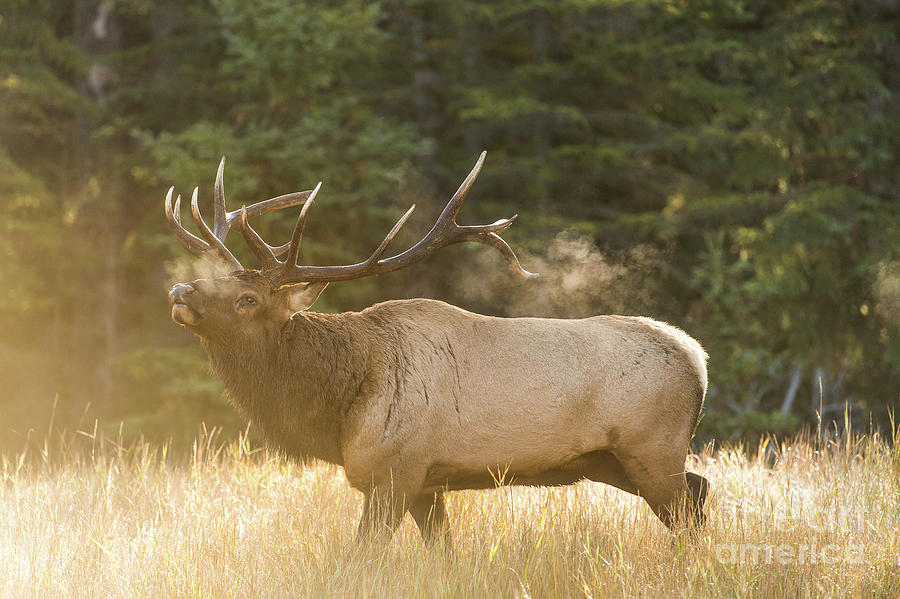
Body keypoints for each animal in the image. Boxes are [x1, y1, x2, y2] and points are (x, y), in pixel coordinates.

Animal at [163, 152, 712, 548]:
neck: (340, 407)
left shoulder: (396, 472)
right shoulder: (427, 486)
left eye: (248, 299)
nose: (180, 291)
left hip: (653, 446)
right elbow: (443, 554)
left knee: (687, 510)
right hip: (611, 461)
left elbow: (360, 560)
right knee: (701, 490)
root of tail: (698, 357)